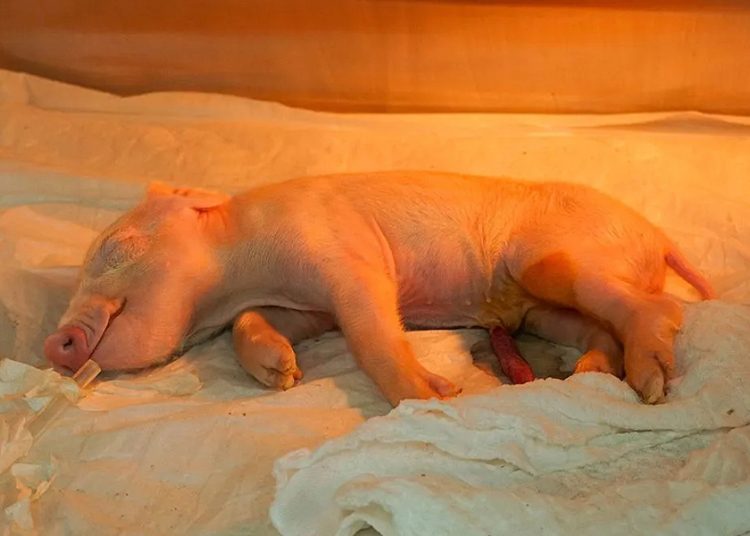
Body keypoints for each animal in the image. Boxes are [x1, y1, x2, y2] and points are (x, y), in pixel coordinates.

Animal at [43, 172, 714, 406]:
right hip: (539, 311)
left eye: (112, 247)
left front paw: (436, 396)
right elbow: (254, 325)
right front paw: (281, 375)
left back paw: (651, 385)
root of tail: (658, 237)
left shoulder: (344, 253)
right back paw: (590, 373)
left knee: (660, 307)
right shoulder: (304, 307)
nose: (53, 344)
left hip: (550, 260)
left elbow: (370, 328)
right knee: (597, 329)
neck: (242, 272)